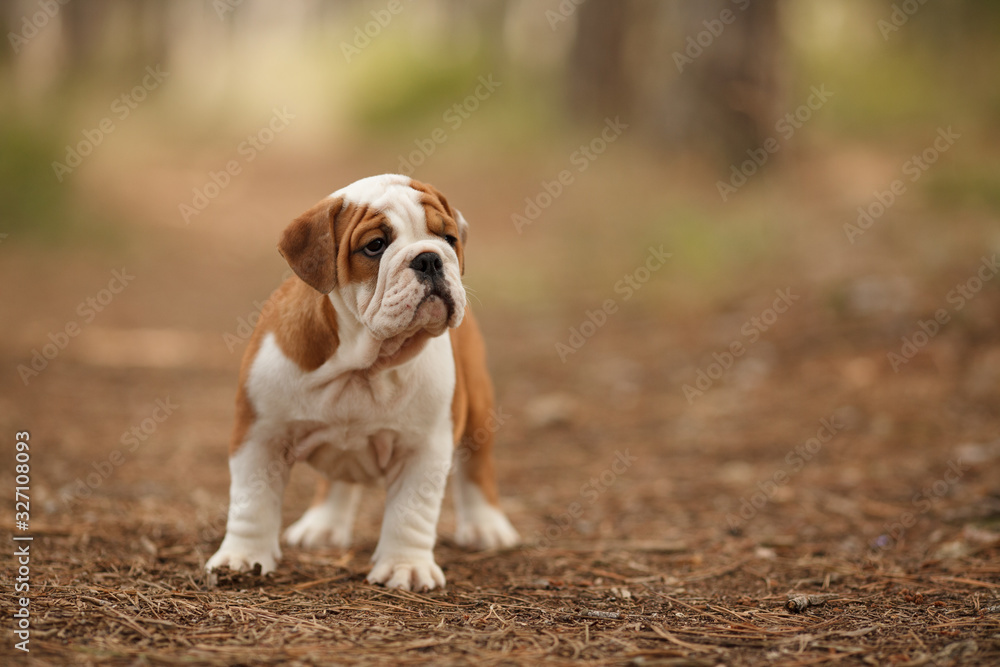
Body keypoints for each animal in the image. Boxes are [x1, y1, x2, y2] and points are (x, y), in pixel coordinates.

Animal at [202, 176, 516, 588]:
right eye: (375, 246)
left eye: (449, 238)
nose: (429, 258)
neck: (361, 365)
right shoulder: (259, 436)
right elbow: (252, 503)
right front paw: (242, 558)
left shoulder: (423, 448)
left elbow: (411, 512)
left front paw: (405, 567)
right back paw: (323, 525)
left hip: (478, 405)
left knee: (478, 467)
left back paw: (486, 527)